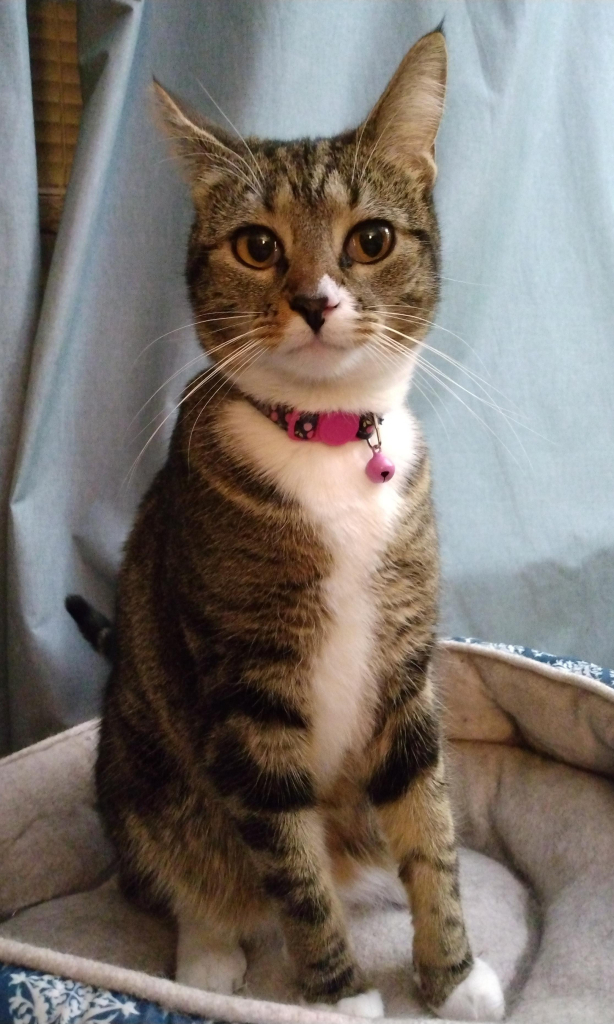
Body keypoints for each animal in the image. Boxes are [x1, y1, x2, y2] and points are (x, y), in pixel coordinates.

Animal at [70, 28, 503, 1019]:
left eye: (371, 239)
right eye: (257, 246)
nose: (314, 299)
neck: (328, 440)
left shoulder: (408, 673)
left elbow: (430, 828)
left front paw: (453, 974)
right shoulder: (247, 696)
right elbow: (294, 874)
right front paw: (341, 993)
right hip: (143, 773)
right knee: (192, 870)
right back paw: (210, 952)